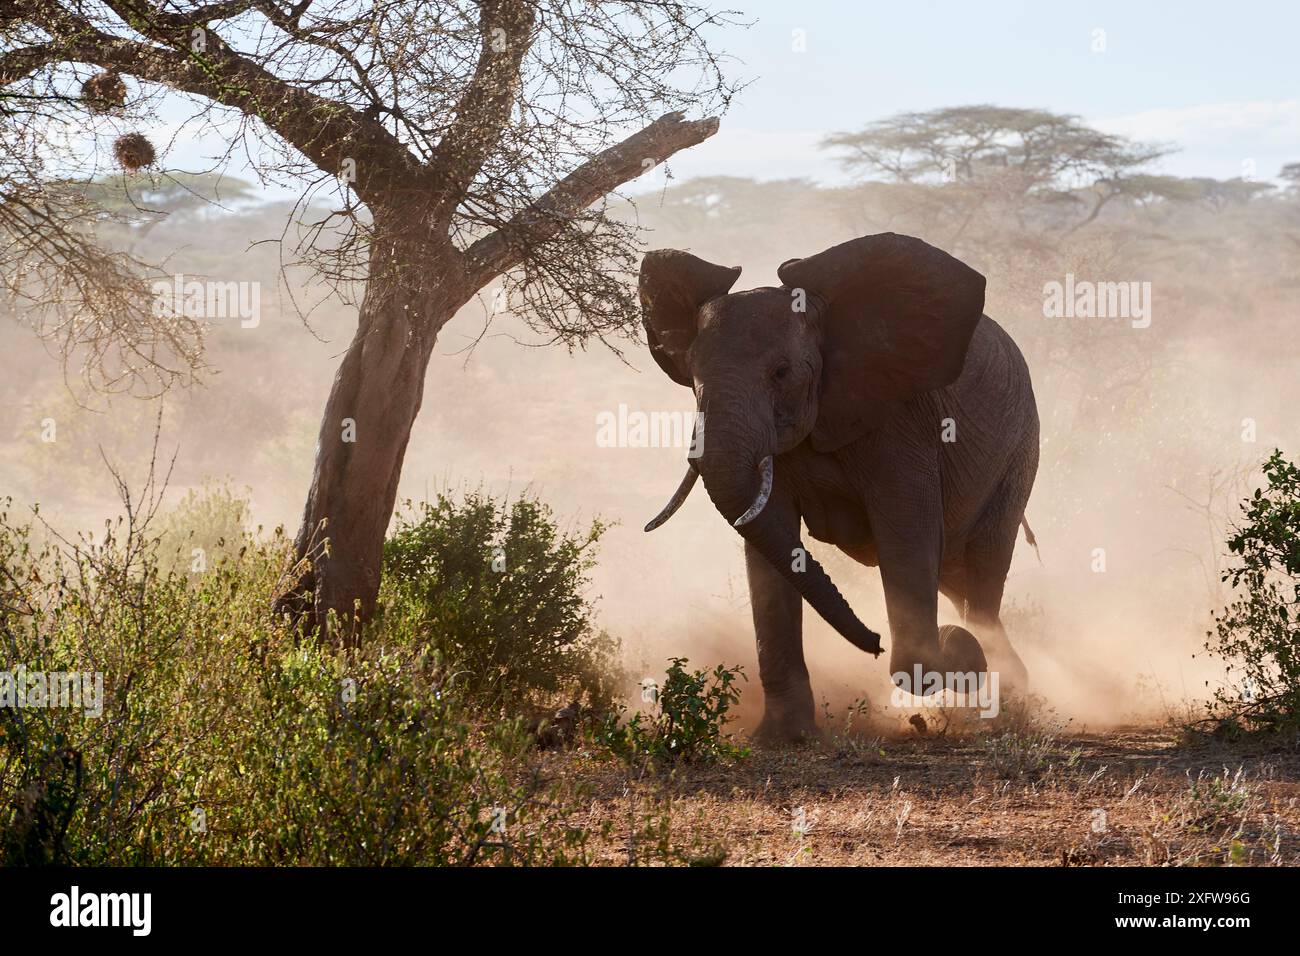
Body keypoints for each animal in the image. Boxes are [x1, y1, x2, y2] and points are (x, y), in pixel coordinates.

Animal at [639, 232, 1039, 743]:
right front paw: (783, 737)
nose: (874, 641)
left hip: (1020, 450)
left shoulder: (900, 418)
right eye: (690, 376)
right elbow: (771, 548)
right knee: (955, 574)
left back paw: (994, 684)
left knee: (985, 563)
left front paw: (952, 652)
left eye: (781, 373)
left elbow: (907, 531)